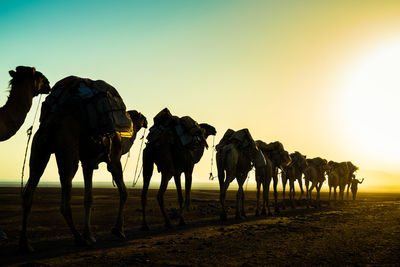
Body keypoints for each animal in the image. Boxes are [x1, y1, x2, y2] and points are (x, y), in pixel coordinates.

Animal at [18, 76, 147, 253]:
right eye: (140, 117)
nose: (146, 122)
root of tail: (52, 122)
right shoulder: (114, 160)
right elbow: (124, 192)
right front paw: (118, 230)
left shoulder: (88, 163)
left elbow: (88, 198)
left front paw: (89, 235)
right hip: (68, 151)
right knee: (64, 199)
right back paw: (78, 239)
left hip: (39, 149)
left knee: (29, 191)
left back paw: (26, 243)